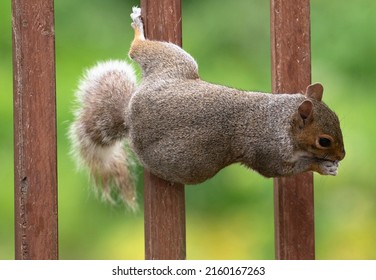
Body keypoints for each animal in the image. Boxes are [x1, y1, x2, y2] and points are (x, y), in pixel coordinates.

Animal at [69, 6, 346, 210]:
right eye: (324, 141)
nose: (342, 155)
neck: (281, 120)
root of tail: (129, 113)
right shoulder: (268, 153)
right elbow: (281, 169)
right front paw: (321, 166)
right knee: (135, 48)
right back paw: (137, 25)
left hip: (173, 65)